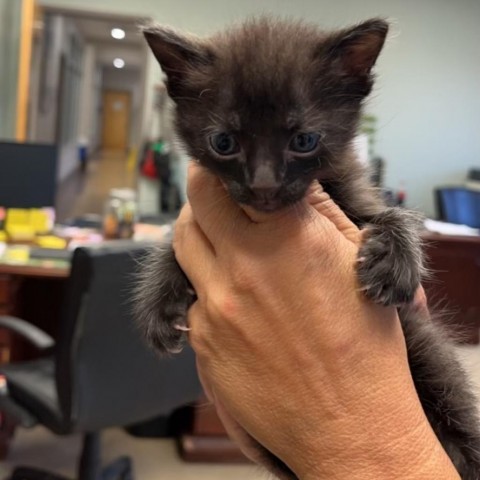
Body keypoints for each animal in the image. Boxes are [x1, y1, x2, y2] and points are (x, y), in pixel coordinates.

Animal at [134, 16, 480, 478]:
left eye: (304, 140)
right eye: (223, 143)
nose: (263, 186)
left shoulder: (357, 198)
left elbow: (394, 215)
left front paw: (395, 262)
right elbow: (171, 240)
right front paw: (158, 303)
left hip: (429, 352)